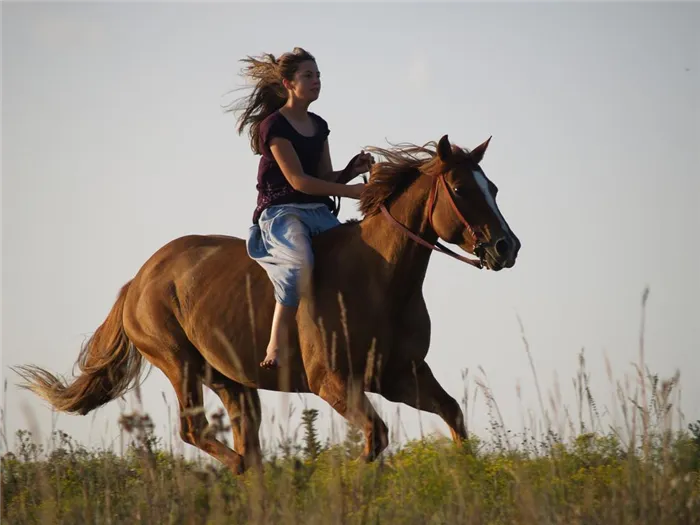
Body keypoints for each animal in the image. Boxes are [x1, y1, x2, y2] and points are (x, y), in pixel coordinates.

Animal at [15, 133, 520, 472]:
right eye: (461, 189)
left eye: (493, 188)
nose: (507, 247)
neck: (381, 281)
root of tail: (136, 282)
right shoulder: (333, 383)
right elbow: (375, 438)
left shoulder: (401, 376)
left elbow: (453, 414)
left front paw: (470, 478)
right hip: (180, 363)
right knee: (199, 432)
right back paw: (248, 472)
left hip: (232, 382)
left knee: (245, 440)